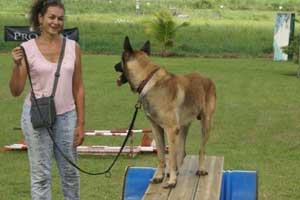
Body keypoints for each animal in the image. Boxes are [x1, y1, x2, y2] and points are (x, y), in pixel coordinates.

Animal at [114, 36, 216, 188]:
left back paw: (200, 169)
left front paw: (172, 181)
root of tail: (207, 78)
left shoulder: (170, 129)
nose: (114, 66)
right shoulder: (156, 129)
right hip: (183, 127)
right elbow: (161, 155)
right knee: (181, 152)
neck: (147, 80)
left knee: (200, 149)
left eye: (120, 60)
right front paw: (160, 176)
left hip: (205, 124)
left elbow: (171, 158)